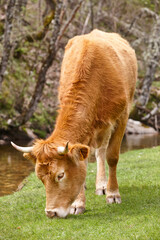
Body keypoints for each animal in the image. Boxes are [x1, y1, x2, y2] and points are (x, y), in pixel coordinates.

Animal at [11, 29, 137, 218]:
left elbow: (112, 156)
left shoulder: (122, 117)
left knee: (102, 151)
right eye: (40, 178)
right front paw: (78, 203)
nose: (51, 212)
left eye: (60, 175)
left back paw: (103, 185)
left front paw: (113, 194)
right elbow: (82, 162)